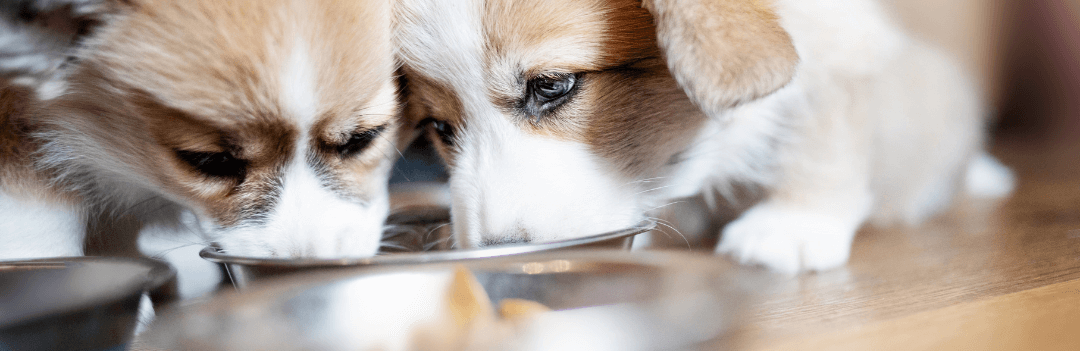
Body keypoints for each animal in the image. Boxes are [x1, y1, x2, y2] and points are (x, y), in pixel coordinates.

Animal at [395, 0, 1010, 272]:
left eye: (552, 86)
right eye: (441, 127)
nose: (497, 254)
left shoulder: (835, 56)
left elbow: (820, 144)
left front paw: (790, 228)